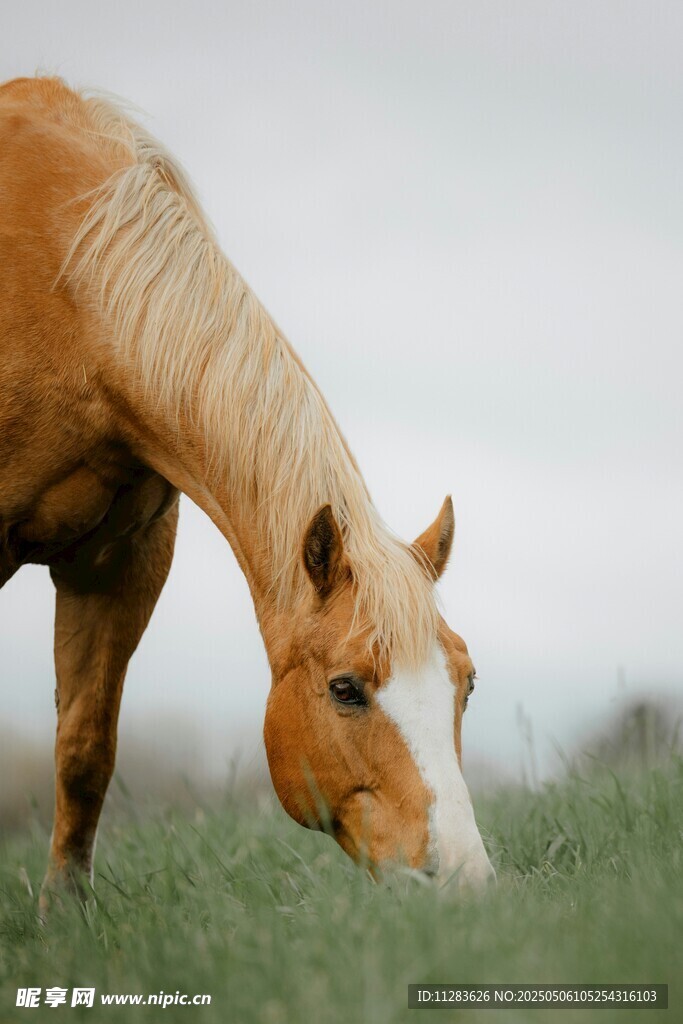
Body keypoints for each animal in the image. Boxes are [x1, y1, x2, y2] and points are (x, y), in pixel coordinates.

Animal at [0, 76, 494, 910]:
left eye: (466, 682)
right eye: (345, 689)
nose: (460, 881)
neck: (59, 284)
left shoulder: (118, 564)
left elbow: (85, 750)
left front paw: (64, 912)